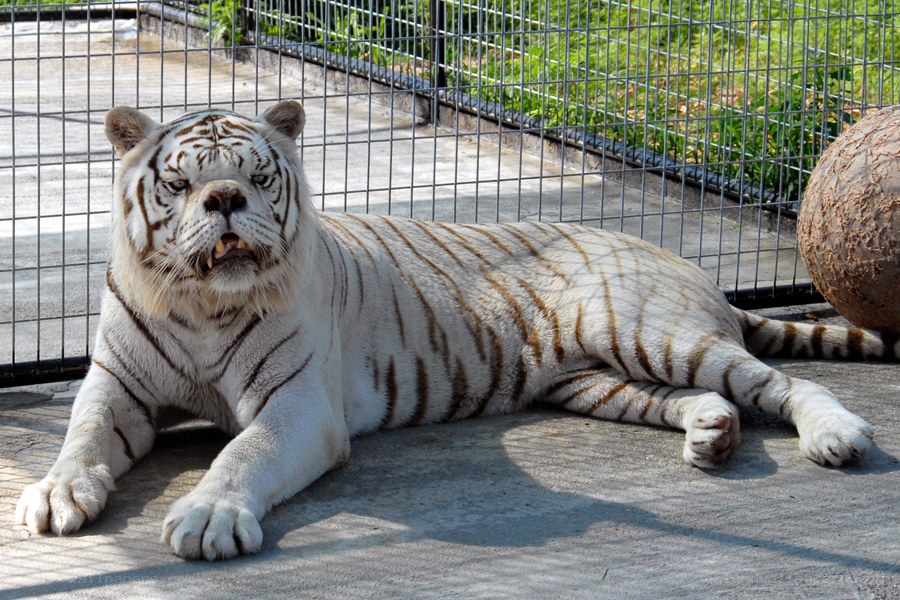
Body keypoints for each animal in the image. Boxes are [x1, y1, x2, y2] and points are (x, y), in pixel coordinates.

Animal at [14, 100, 899, 561]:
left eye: (259, 177)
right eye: (180, 183)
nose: (226, 200)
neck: (202, 303)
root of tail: (678, 258)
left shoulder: (298, 406)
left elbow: (243, 452)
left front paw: (207, 517)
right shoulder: (117, 384)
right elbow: (82, 436)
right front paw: (55, 493)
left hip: (650, 330)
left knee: (784, 382)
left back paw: (838, 436)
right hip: (598, 379)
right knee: (700, 400)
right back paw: (712, 436)